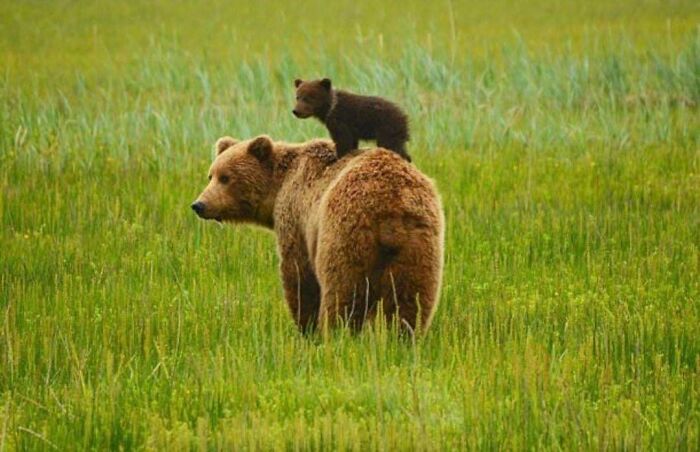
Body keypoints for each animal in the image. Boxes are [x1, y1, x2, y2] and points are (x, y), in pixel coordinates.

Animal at [191, 135, 444, 335]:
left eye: (226, 177)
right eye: (211, 175)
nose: (199, 205)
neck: (278, 187)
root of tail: (390, 205)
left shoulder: (296, 218)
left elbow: (298, 274)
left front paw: (306, 327)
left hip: (344, 234)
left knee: (343, 291)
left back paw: (336, 334)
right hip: (419, 243)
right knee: (411, 298)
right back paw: (402, 338)